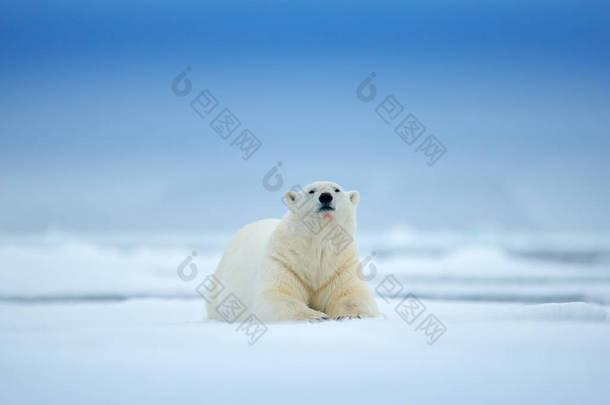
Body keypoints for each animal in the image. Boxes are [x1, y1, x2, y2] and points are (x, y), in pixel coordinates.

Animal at [207, 180, 378, 322]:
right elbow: (277, 296)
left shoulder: (341, 265)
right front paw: (316, 316)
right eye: (311, 191)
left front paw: (350, 315)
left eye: (337, 189)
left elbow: (352, 294)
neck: (317, 247)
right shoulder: (285, 261)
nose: (325, 196)